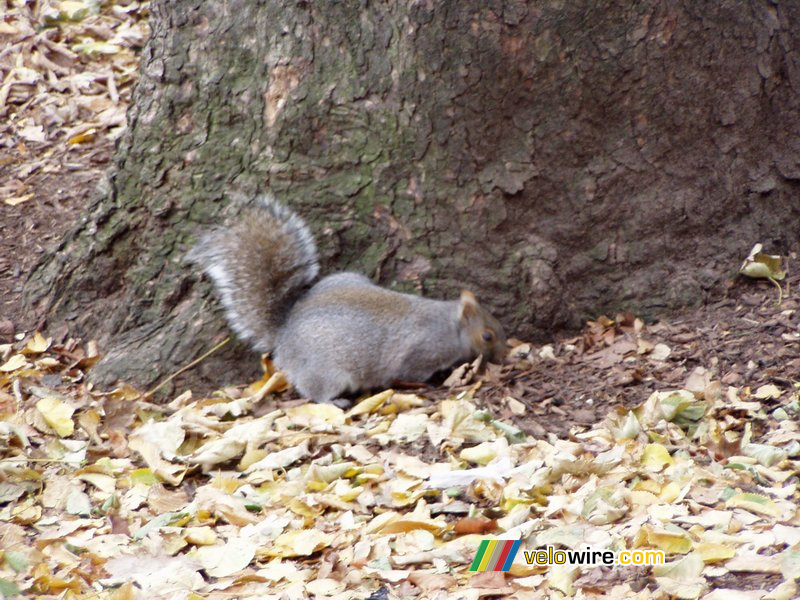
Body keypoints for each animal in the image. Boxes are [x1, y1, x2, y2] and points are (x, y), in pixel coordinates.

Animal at [189, 196, 506, 404]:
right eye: (487, 336)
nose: (505, 355)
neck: (448, 323)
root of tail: (284, 333)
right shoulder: (420, 352)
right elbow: (410, 372)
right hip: (328, 372)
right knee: (314, 393)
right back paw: (335, 401)